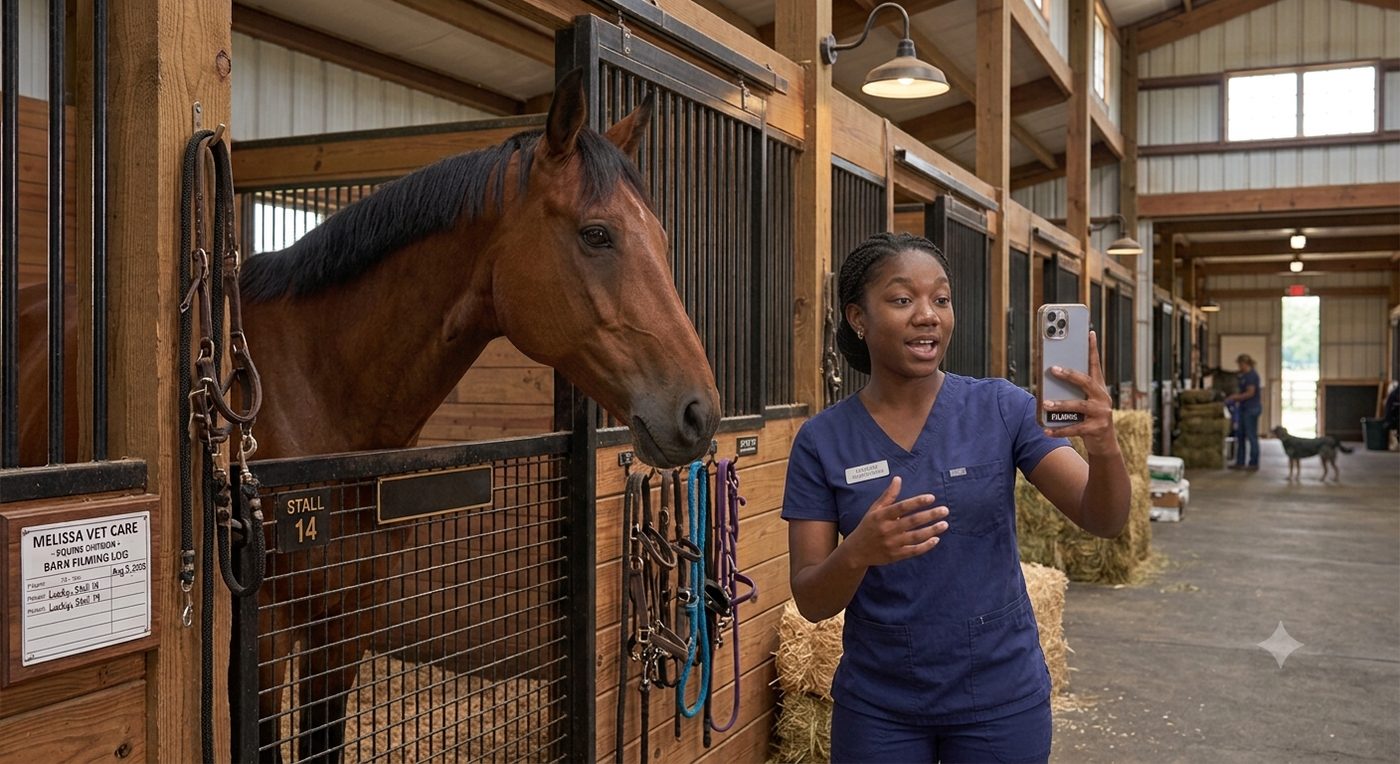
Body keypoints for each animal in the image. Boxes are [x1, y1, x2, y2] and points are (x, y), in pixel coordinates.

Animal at [14, 69, 721, 761]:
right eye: (596, 233)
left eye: (661, 237)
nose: (700, 412)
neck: (320, 388)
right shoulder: (266, 630)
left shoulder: (349, 618)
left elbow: (322, 742)